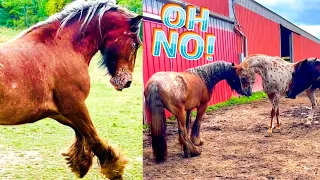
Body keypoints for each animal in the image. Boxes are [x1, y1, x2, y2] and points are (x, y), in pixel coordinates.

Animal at [0, 0, 142, 179]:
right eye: (136, 44)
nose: (127, 82)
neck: (61, 48)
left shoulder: (58, 111)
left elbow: (84, 135)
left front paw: (80, 163)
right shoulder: (74, 106)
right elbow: (94, 139)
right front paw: (114, 170)